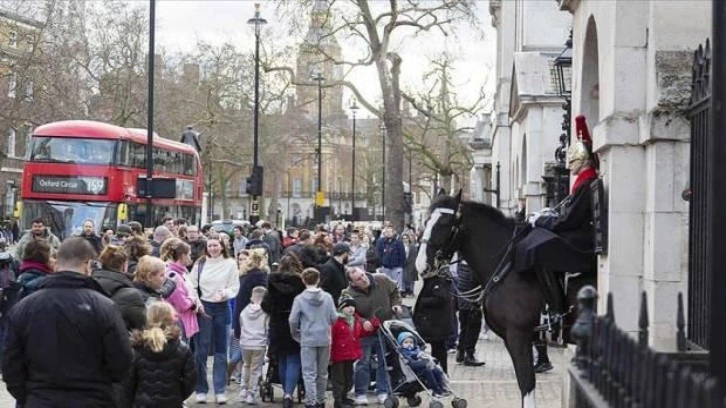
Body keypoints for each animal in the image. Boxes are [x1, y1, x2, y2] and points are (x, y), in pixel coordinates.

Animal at [418, 192, 556, 408]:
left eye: (444, 223)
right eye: (426, 222)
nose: (420, 264)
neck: (508, 268)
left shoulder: (518, 335)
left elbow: (526, 383)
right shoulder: (518, 337)